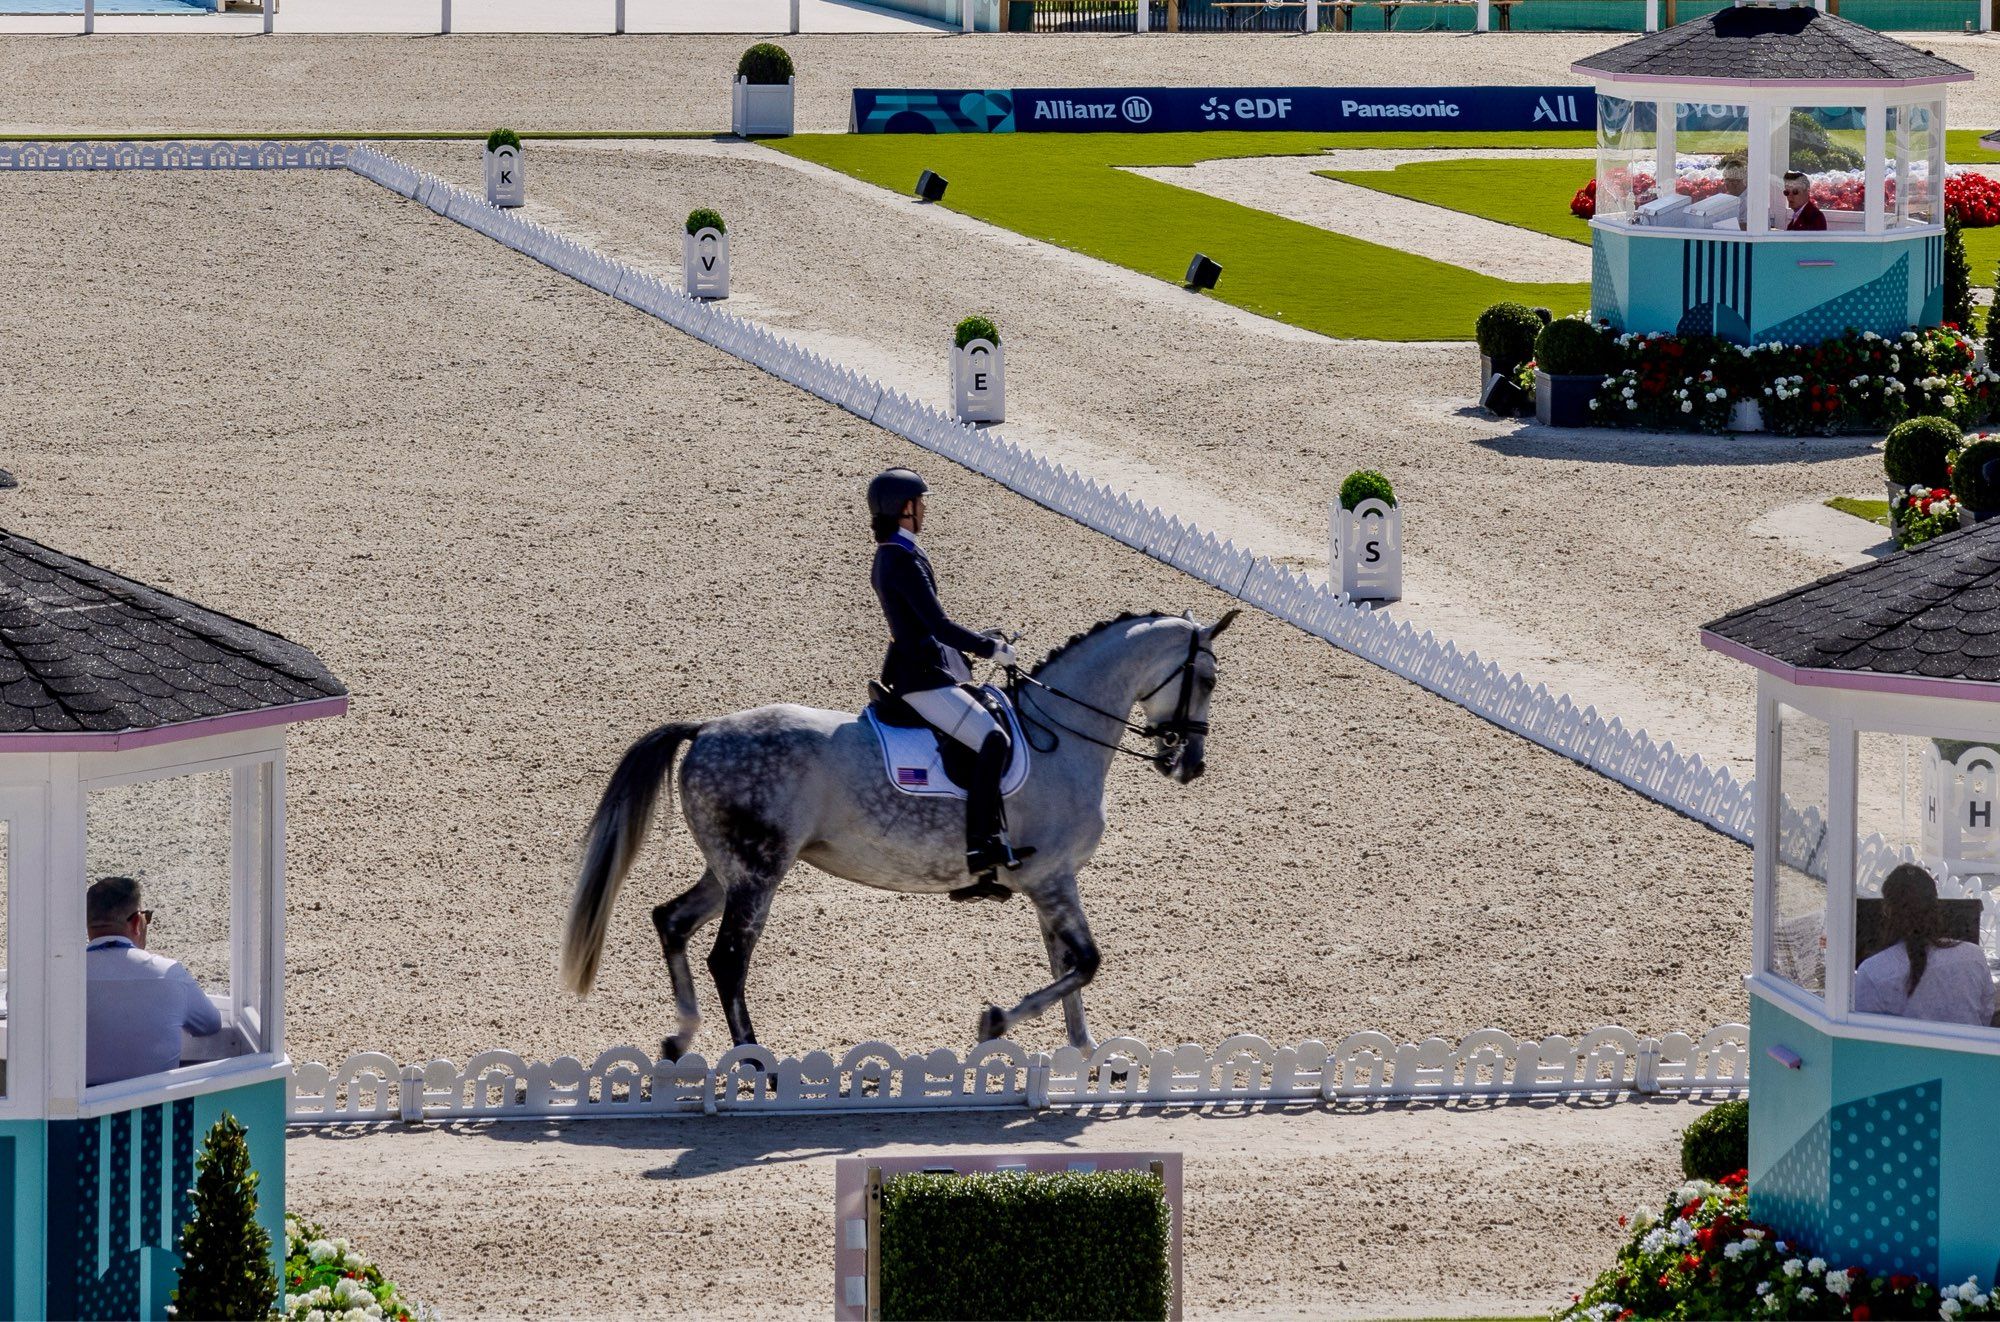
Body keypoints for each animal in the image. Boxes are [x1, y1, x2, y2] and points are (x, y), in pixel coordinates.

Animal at [556, 604, 1224, 1048]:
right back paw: (756, 1065)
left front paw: (1082, 1057)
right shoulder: (1051, 878)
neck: (1062, 735)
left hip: (732, 868)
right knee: (728, 960)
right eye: (1208, 679)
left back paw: (682, 1038)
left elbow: (1067, 966)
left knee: (671, 920)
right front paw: (996, 1022)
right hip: (759, 874)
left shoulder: (1051, 884)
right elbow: (1085, 962)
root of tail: (707, 729)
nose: (1188, 764)